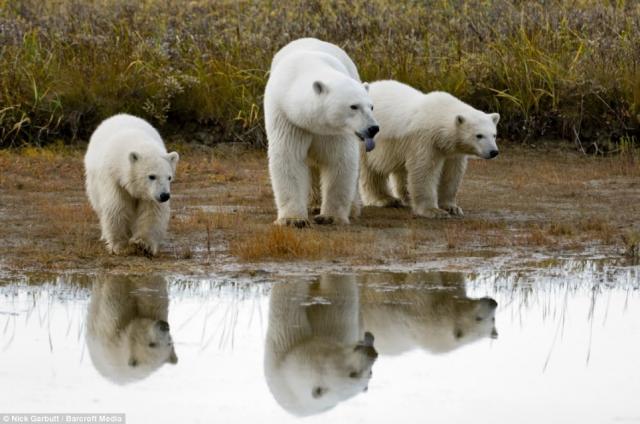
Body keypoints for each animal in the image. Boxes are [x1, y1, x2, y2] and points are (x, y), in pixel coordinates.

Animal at [83, 112, 178, 256]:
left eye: (169, 177)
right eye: (151, 176)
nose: (164, 195)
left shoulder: (149, 194)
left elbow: (151, 211)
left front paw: (142, 244)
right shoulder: (114, 179)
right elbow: (117, 206)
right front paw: (120, 245)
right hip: (94, 183)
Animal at [264, 38, 380, 227]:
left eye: (371, 106)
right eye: (353, 106)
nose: (373, 128)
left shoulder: (334, 131)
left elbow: (339, 160)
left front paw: (329, 216)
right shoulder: (287, 118)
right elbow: (289, 157)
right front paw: (293, 220)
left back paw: (352, 208)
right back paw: (313, 203)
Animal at [266, 274, 380, 418]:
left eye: (370, 372)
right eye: (353, 374)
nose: (372, 352)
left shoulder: (338, 330)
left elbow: (339, 294)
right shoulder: (286, 342)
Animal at [360, 80, 500, 219]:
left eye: (494, 135)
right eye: (479, 135)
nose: (494, 152)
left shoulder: (451, 151)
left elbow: (452, 173)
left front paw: (452, 207)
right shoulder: (424, 141)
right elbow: (424, 170)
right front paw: (433, 211)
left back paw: (405, 197)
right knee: (371, 170)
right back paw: (386, 199)